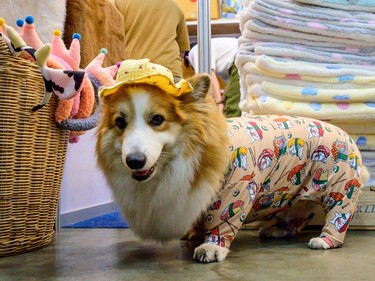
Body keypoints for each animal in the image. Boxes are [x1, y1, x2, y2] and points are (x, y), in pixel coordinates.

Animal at [95, 59, 368, 262]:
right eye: (120, 122)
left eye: (157, 119)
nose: (134, 161)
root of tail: (347, 136)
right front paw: (194, 233)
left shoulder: (236, 189)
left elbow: (221, 222)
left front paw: (211, 247)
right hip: (295, 194)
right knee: (298, 214)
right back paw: (277, 229)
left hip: (340, 189)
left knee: (338, 217)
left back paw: (325, 240)